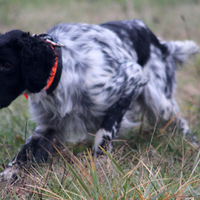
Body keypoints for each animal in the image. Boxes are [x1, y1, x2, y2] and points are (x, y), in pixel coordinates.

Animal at [0, 19, 198, 181]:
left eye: (7, 65)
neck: (64, 71)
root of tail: (158, 41)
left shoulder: (133, 77)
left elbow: (104, 132)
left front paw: (101, 164)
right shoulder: (49, 127)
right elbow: (23, 154)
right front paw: (9, 175)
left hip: (160, 104)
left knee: (180, 123)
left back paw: (193, 146)